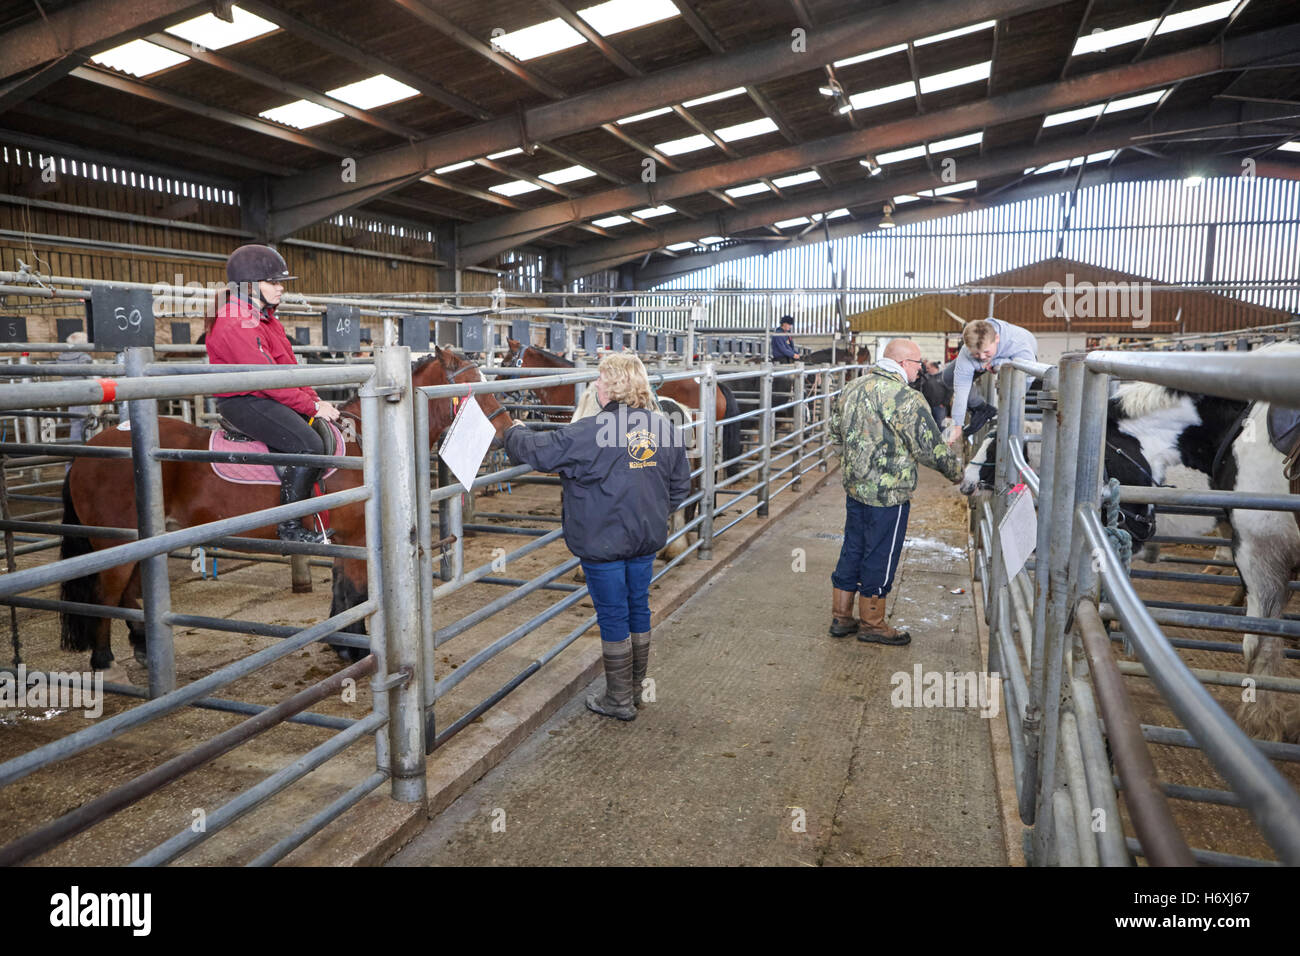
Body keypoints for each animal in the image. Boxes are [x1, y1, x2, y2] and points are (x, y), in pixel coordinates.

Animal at [58, 348, 512, 676]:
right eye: (472, 386)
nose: (506, 432)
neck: (370, 445)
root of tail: (88, 452)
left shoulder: (344, 540)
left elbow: (342, 592)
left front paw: (341, 643)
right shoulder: (358, 538)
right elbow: (356, 592)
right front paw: (354, 649)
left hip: (140, 540)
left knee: (130, 592)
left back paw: (141, 647)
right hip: (115, 540)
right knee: (106, 595)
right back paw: (104, 660)